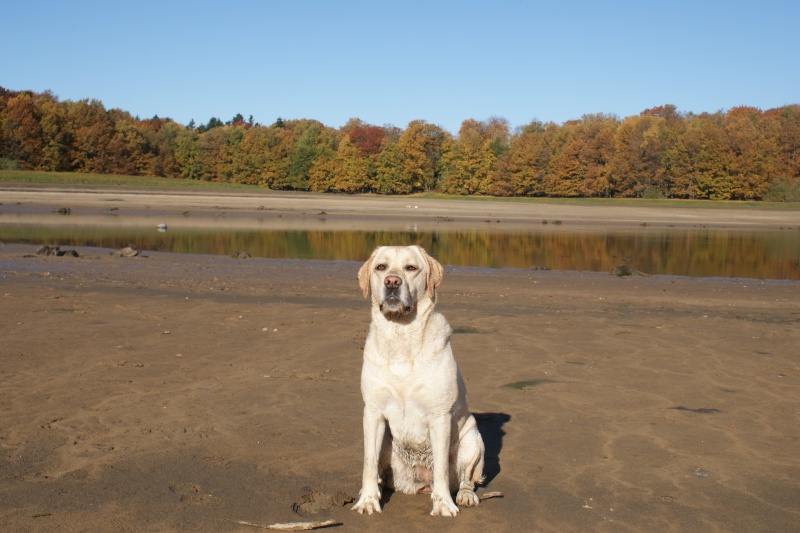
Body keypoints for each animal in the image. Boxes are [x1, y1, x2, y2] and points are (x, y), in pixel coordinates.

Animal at [354, 245, 484, 516]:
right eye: (381, 267)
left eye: (411, 268)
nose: (392, 282)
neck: (401, 336)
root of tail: (420, 483)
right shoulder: (373, 412)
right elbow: (368, 463)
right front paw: (368, 500)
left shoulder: (440, 416)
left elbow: (442, 470)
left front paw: (444, 504)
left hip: (472, 439)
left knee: (465, 478)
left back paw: (464, 496)